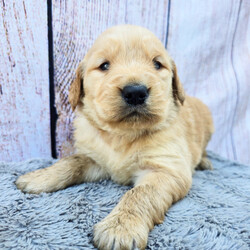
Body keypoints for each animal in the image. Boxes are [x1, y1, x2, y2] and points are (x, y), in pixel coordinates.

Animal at [15, 25, 214, 250]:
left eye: (157, 64)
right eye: (104, 66)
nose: (135, 92)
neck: (123, 135)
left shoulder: (166, 170)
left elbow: (139, 194)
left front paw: (121, 227)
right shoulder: (97, 159)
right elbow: (72, 161)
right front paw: (39, 177)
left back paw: (204, 162)